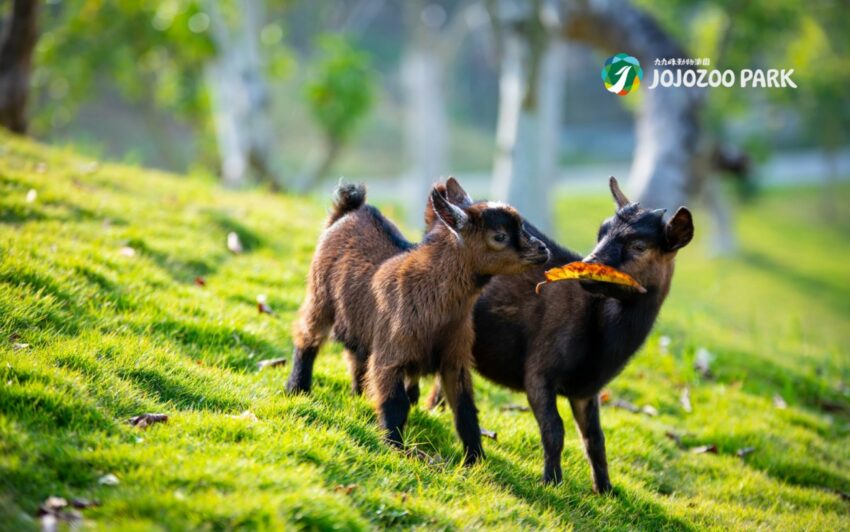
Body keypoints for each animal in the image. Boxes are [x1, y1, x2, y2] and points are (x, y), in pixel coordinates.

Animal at [285, 178, 550, 464]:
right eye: (499, 236)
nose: (543, 250)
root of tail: (350, 209)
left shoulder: (455, 359)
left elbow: (465, 410)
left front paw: (475, 460)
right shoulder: (391, 354)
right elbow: (395, 403)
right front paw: (395, 446)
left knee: (355, 357)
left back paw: (358, 396)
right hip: (319, 297)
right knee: (307, 337)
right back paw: (297, 388)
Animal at [425, 177, 694, 491]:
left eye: (639, 245)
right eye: (601, 232)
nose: (588, 265)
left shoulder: (587, 389)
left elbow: (596, 439)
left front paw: (605, 490)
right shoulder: (539, 369)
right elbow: (555, 429)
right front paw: (551, 483)